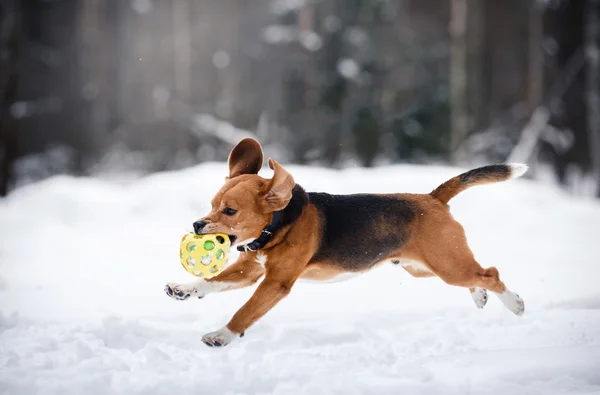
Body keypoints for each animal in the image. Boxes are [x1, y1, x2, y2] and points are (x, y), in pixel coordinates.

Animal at [164, 138, 524, 346]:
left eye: (230, 210)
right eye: (212, 205)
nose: (197, 225)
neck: (279, 225)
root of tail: (432, 198)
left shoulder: (274, 283)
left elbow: (245, 311)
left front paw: (221, 335)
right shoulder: (250, 270)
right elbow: (212, 281)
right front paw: (184, 289)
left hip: (447, 264)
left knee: (490, 273)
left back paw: (514, 303)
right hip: (424, 267)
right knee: (478, 276)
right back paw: (480, 296)